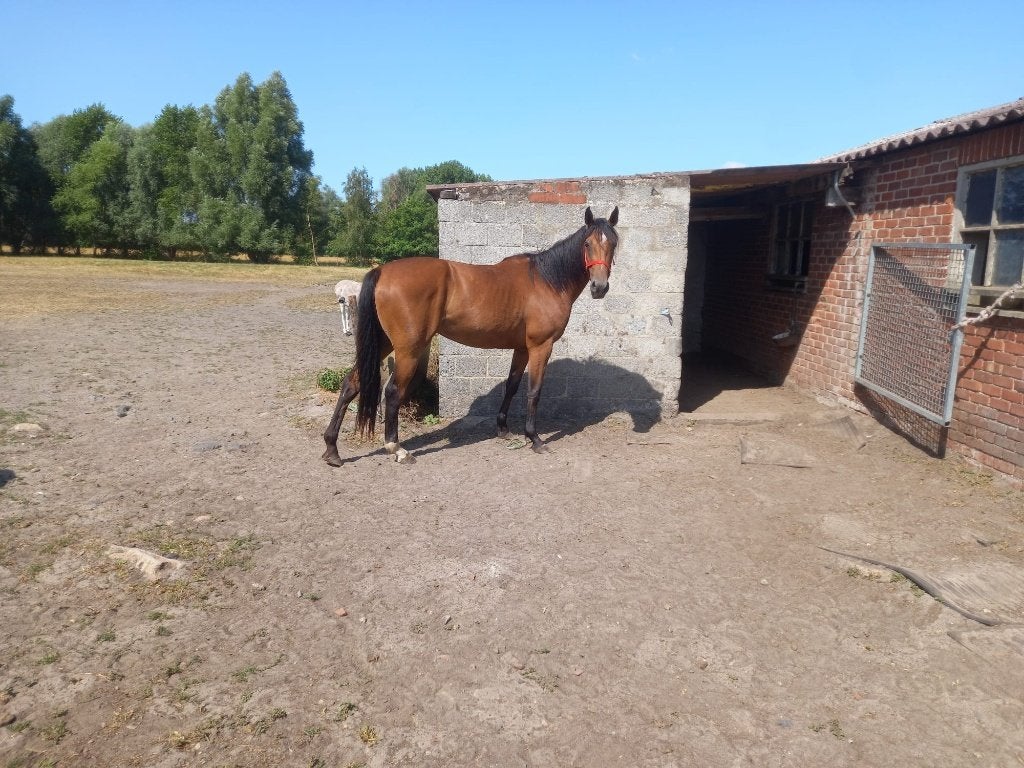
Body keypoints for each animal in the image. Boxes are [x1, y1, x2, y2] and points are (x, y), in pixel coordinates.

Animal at [322, 206, 619, 466]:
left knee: (351, 384)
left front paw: (503, 429)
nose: (599, 287)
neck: (547, 281)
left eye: (613, 244)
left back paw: (332, 449)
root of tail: (382, 270)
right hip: (408, 350)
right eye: (587, 244)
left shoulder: (522, 349)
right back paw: (397, 449)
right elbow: (534, 391)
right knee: (393, 392)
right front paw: (534, 438)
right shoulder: (540, 347)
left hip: (383, 343)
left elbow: (512, 386)